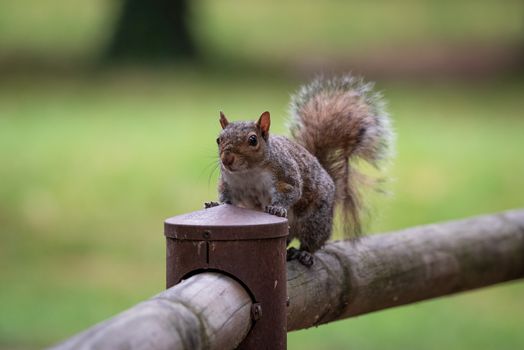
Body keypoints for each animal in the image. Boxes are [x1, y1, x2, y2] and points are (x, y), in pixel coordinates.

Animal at [205, 74, 392, 266]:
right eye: (219, 140)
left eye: (253, 140)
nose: (227, 159)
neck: (248, 173)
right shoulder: (229, 184)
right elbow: (227, 199)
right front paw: (215, 203)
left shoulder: (285, 174)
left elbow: (291, 191)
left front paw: (277, 209)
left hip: (315, 220)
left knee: (313, 242)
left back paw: (304, 253)